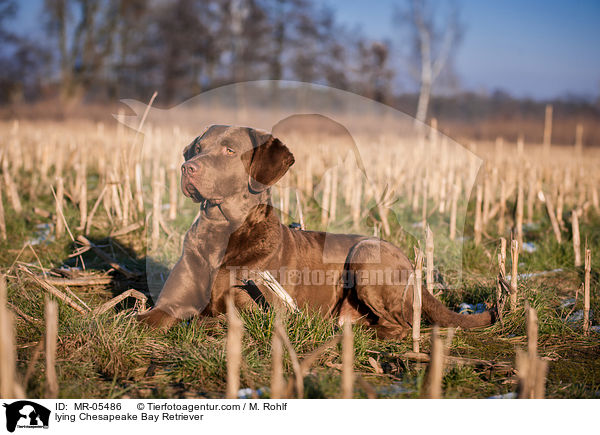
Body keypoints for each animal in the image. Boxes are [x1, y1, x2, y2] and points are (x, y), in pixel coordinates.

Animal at [138, 124, 494, 338]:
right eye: (198, 147)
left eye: (228, 151)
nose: (188, 167)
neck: (222, 235)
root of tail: (411, 265)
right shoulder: (168, 305)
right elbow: (143, 318)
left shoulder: (255, 313)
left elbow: (207, 317)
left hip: (366, 254)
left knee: (401, 325)